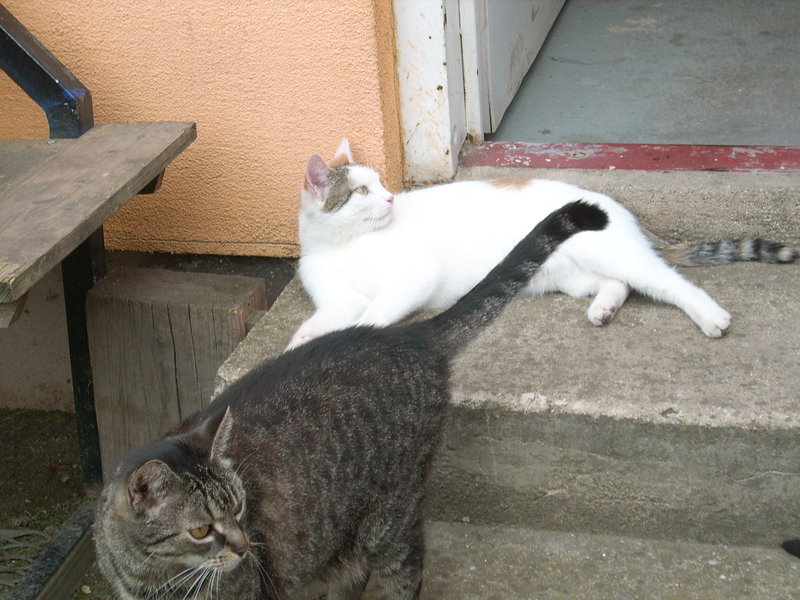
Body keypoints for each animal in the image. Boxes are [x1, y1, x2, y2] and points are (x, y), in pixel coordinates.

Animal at [93, 200, 609, 600]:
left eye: (239, 509)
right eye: (201, 529)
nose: (243, 547)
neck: (152, 578)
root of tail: (409, 336)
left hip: (390, 519)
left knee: (404, 573)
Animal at [290, 138, 796, 349]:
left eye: (379, 183)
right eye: (362, 190)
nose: (391, 197)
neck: (344, 246)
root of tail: (619, 207)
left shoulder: (414, 278)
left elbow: (374, 314)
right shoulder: (336, 301)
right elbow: (319, 324)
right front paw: (301, 345)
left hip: (610, 251)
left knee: (667, 282)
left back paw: (712, 317)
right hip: (566, 274)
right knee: (619, 285)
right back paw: (604, 308)